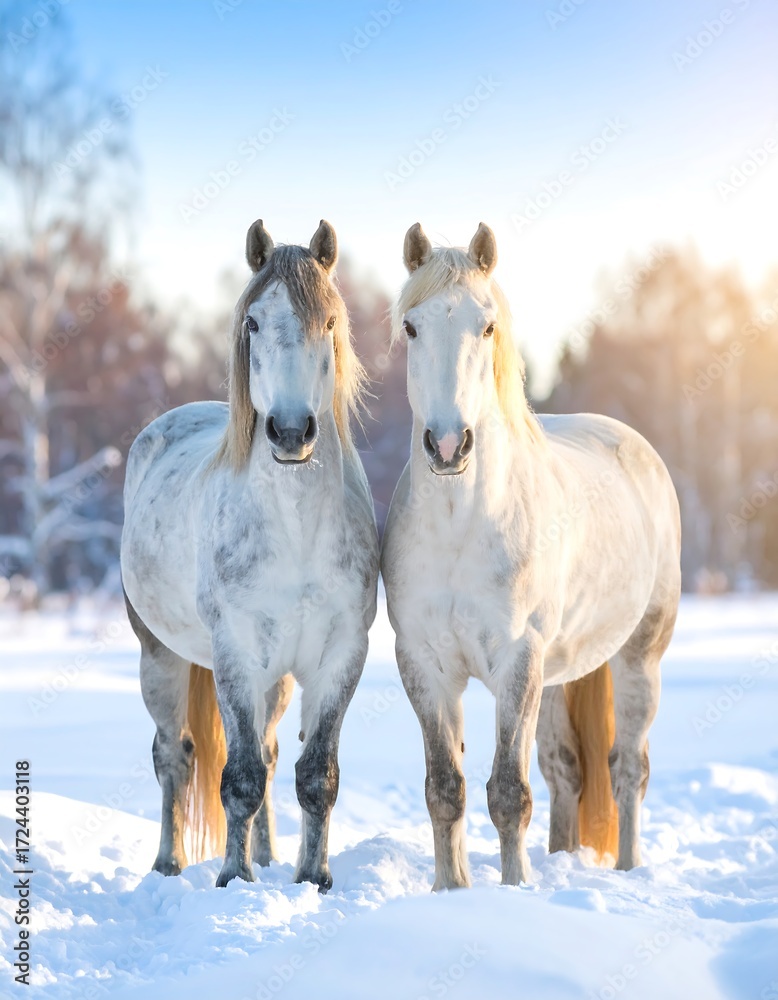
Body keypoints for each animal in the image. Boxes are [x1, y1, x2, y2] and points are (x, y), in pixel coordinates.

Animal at [121, 219, 379, 891]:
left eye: (329, 322)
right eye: (254, 322)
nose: (290, 432)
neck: (296, 531)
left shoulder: (341, 655)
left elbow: (316, 776)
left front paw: (312, 878)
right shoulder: (235, 654)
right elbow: (237, 779)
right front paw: (233, 880)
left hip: (277, 680)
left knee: (266, 752)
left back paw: (265, 856)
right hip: (161, 658)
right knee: (174, 757)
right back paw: (169, 863)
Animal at [381, 222, 681, 890]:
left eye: (487, 326)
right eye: (411, 327)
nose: (447, 445)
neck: (461, 526)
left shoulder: (517, 661)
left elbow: (508, 793)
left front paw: (513, 890)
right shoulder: (426, 665)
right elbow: (446, 788)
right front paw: (449, 889)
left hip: (637, 657)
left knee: (628, 767)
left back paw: (628, 868)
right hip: (557, 671)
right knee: (566, 767)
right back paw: (563, 857)